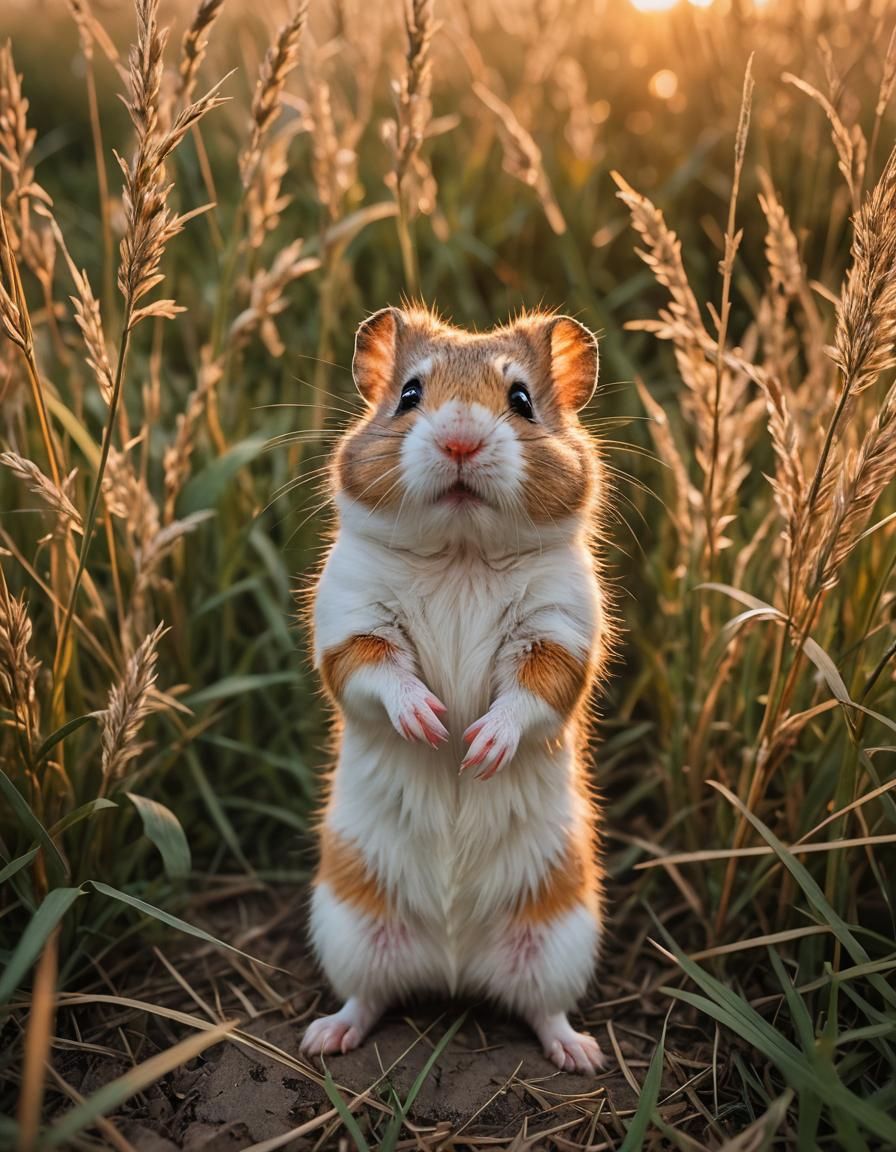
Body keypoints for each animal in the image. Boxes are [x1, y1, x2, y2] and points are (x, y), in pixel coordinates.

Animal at [300, 306, 610, 1074]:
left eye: (521, 400)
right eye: (410, 395)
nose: (461, 440)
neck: (461, 550)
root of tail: (453, 965)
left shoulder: (558, 636)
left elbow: (526, 698)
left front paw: (476, 748)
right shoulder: (351, 625)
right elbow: (381, 674)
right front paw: (433, 725)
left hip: (561, 934)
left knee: (544, 1009)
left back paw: (580, 1054)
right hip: (348, 924)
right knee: (367, 997)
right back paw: (326, 1037)